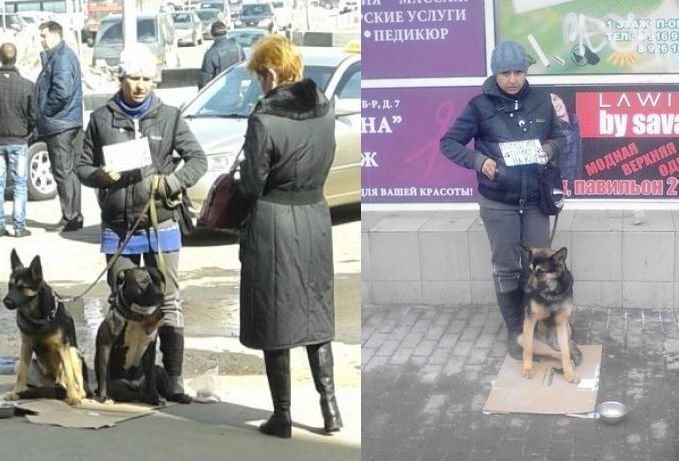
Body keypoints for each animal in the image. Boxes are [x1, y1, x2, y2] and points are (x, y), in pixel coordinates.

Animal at [2, 250, 90, 404]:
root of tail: (54, 382)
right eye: (10, 286)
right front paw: (16, 392)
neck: (37, 317)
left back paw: (76, 393)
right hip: (22, 365)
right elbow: (22, 373)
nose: (5, 301)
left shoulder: (63, 346)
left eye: (22, 287)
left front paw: (73, 397)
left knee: (77, 384)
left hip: (72, 351)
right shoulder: (26, 346)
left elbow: (69, 373)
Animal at [94, 264, 167, 404]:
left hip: (158, 371)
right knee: (133, 394)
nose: (161, 295)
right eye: (143, 282)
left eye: (158, 281)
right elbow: (104, 371)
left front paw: (154, 395)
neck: (138, 317)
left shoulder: (150, 348)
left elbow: (151, 376)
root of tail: (135, 385)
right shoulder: (106, 344)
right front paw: (103, 396)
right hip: (118, 385)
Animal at [516, 246, 580, 382]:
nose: (526, 291)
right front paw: (527, 369)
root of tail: (549, 342)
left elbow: (566, 352)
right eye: (530, 270)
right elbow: (528, 349)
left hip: (567, 330)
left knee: (561, 350)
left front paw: (569, 374)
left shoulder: (562, 322)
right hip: (522, 338)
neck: (551, 293)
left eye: (541, 271)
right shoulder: (530, 319)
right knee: (550, 351)